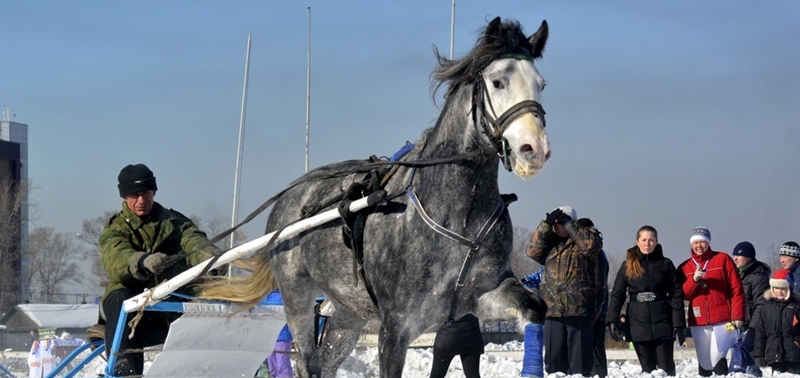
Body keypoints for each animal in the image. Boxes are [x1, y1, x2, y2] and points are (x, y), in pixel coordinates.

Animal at [202, 16, 552, 376]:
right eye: (497, 82)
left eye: (540, 84)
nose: (534, 149)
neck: (457, 215)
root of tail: (291, 198)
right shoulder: (396, 325)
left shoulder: (480, 294)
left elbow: (535, 307)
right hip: (296, 296)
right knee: (309, 362)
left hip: (348, 311)